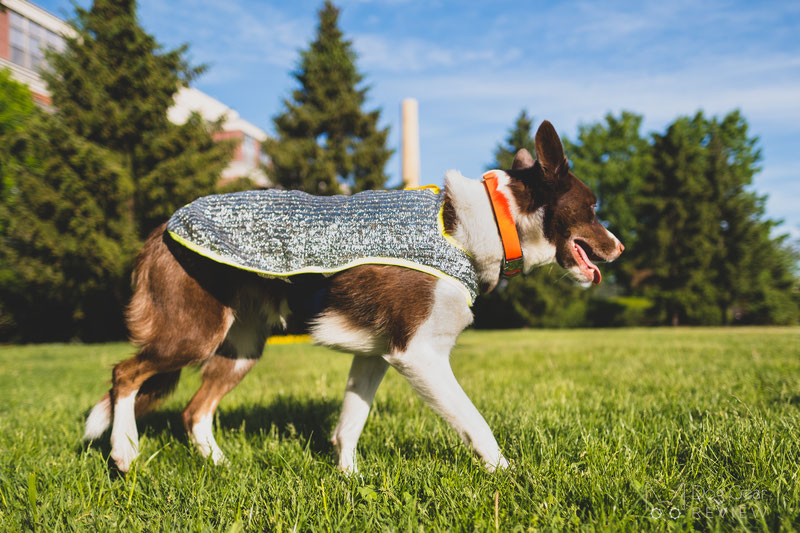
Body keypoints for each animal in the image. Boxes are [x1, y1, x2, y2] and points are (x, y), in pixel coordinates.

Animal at [86, 119, 624, 470]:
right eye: (593, 208)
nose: (619, 246)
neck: (488, 222)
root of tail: (161, 228)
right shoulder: (418, 354)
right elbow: (476, 423)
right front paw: (508, 476)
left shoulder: (375, 354)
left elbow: (349, 425)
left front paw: (348, 480)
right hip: (193, 333)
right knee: (124, 374)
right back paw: (124, 449)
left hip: (242, 347)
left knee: (194, 410)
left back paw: (219, 464)